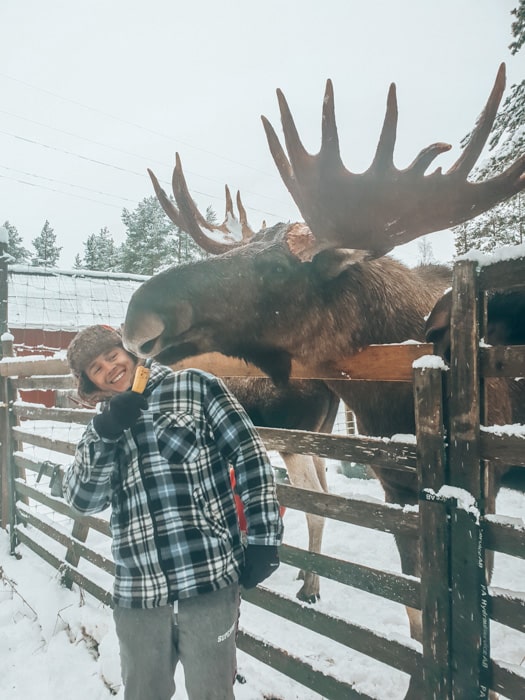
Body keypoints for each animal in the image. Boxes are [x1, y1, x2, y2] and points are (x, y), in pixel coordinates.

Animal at [122, 63, 524, 697]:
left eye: (274, 268)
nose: (140, 311)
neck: (393, 403)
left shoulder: (479, 486)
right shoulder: (397, 487)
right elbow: (417, 613)